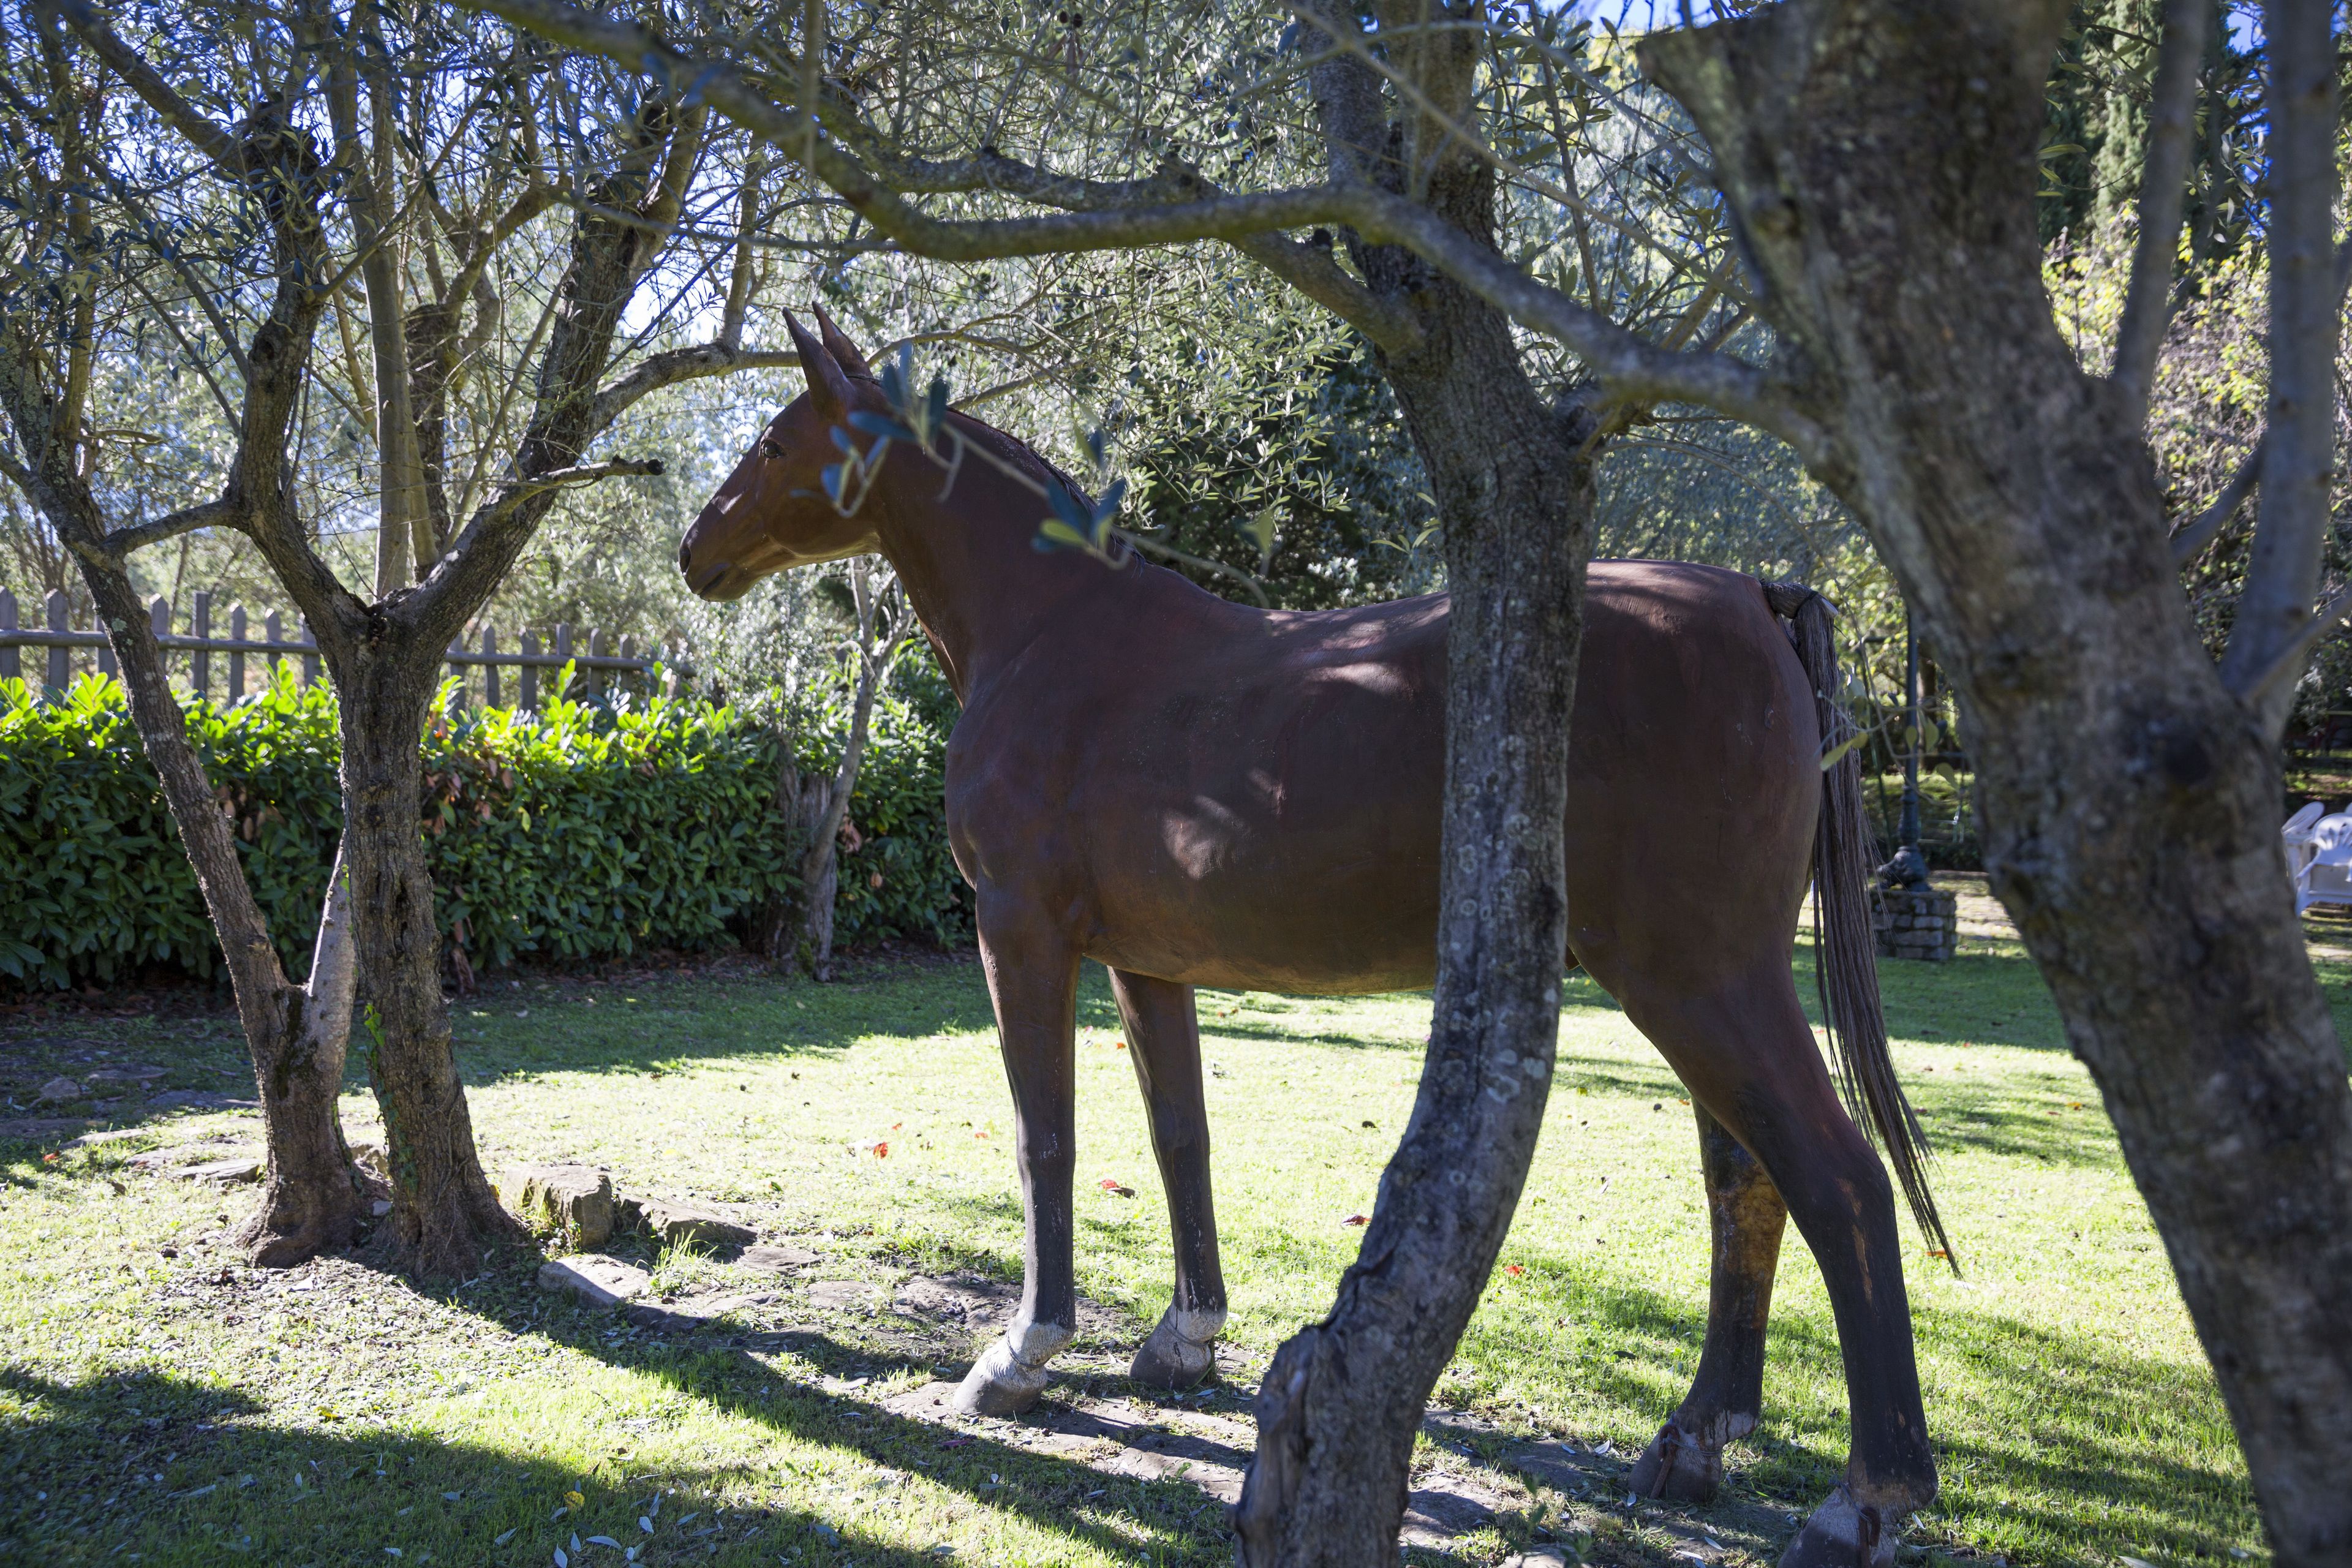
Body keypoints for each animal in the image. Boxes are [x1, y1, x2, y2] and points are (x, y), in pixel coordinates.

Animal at [683, 308, 1950, 1566]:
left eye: (779, 442)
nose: (697, 549)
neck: (1054, 636)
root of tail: (1752, 598)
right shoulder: (1147, 961)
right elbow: (1178, 1136)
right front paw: (1183, 1339)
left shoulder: (1022, 931)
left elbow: (1046, 1139)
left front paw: (1018, 1356)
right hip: (1704, 985)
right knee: (1748, 1184)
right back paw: (1694, 1442)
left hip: (1699, 981)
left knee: (1839, 1183)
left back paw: (1862, 1499)